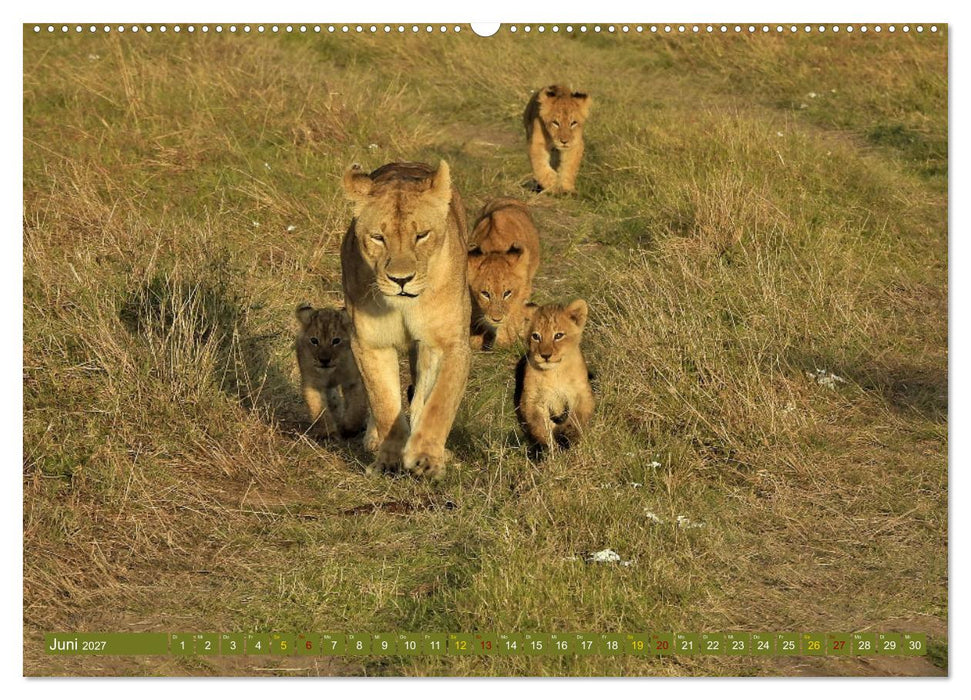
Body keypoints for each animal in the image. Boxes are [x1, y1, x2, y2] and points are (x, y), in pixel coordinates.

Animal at [295, 303, 368, 438]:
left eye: (336, 340)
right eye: (314, 340)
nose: (324, 360)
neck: (331, 372)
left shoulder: (353, 380)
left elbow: (357, 405)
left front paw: (350, 429)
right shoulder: (313, 383)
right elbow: (318, 407)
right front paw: (327, 432)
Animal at [341, 161, 471, 479]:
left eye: (421, 235)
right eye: (378, 237)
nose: (401, 280)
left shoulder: (452, 343)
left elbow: (440, 402)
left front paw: (425, 457)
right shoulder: (369, 343)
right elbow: (384, 401)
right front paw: (388, 460)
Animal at [467, 199, 541, 349]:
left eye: (507, 293)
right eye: (485, 294)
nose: (496, 319)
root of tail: (508, 198)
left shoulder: (523, 288)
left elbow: (512, 315)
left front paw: (504, 343)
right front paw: (475, 339)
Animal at [514, 299, 595, 452]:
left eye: (558, 336)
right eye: (536, 336)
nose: (545, 355)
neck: (554, 372)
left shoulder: (581, 393)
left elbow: (576, 418)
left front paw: (567, 437)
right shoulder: (532, 399)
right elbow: (539, 424)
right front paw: (548, 446)